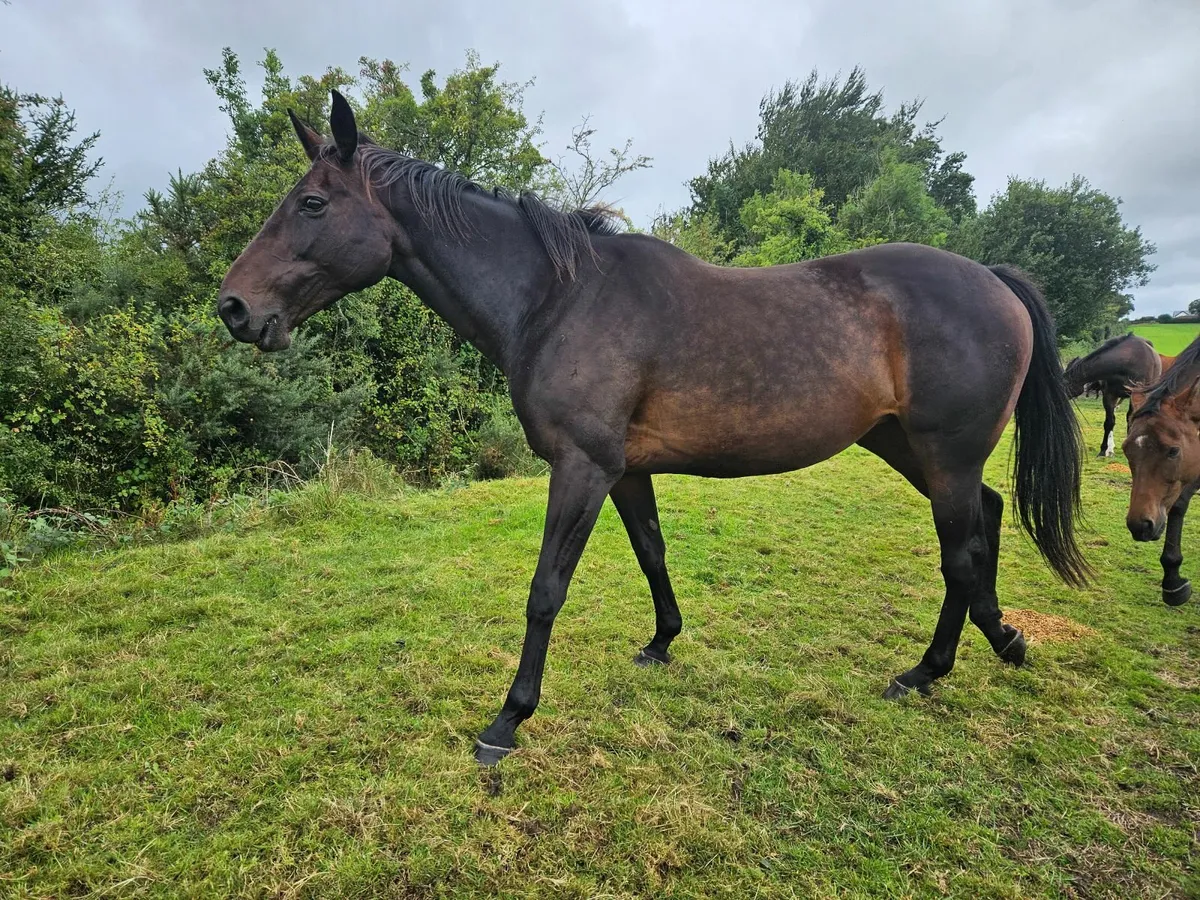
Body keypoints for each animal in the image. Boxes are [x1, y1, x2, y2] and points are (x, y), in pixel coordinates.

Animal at [217, 92, 1090, 764]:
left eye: (312, 203)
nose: (234, 308)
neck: (559, 300)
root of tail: (993, 281)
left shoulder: (581, 467)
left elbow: (546, 590)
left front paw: (508, 719)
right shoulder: (625, 470)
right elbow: (651, 553)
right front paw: (662, 642)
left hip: (943, 454)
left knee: (961, 553)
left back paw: (935, 667)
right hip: (909, 447)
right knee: (985, 520)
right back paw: (993, 640)